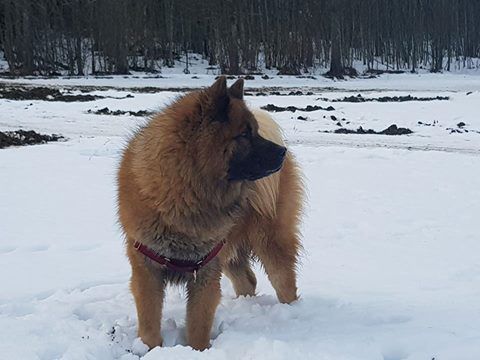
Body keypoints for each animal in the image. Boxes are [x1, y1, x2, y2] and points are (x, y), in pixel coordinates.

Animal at [117, 77, 304, 350]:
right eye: (244, 134)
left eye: (255, 130)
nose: (282, 152)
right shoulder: (147, 269)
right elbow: (150, 325)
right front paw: (150, 349)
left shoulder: (205, 271)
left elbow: (198, 326)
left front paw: (196, 351)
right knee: (248, 280)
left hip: (270, 241)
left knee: (285, 282)